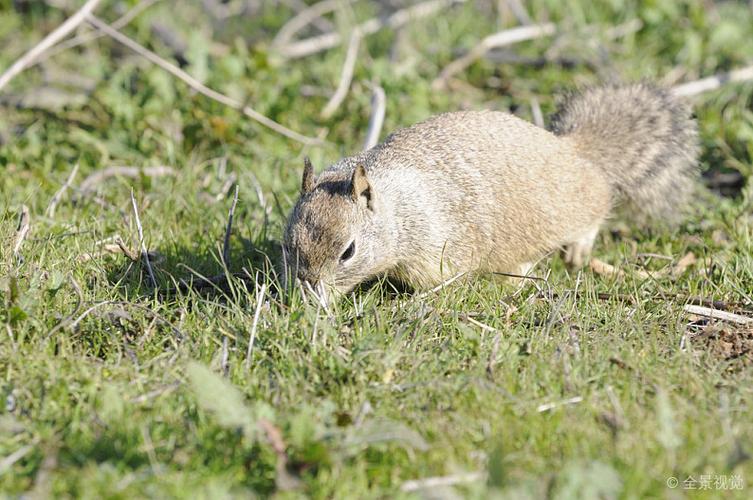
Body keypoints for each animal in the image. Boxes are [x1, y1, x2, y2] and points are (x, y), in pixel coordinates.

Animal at [282, 83, 699, 299]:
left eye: (348, 252)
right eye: (288, 244)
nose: (308, 290)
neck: (400, 210)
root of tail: (574, 152)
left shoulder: (439, 252)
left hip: (571, 208)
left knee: (595, 210)